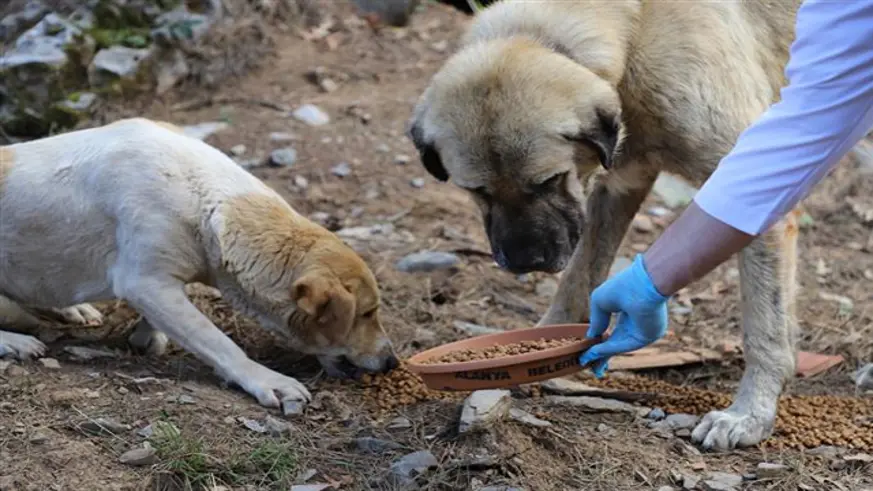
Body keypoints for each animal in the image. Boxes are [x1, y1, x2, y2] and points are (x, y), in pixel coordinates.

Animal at [1, 118, 396, 412]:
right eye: (366, 313)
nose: (392, 362)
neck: (207, 197)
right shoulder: (146, 283)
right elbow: (219, 342)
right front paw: (267, 380)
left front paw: (147, 336)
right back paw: (17, 341)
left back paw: (74, 309)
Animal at [408, 0, 804, 452]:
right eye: (478, 191)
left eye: (548, 180)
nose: (527, 263)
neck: (634, 31)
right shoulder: (618, 185)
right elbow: (577, 282)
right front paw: (538, 353)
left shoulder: (755, 191)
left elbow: (765, 328)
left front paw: (750, 413)